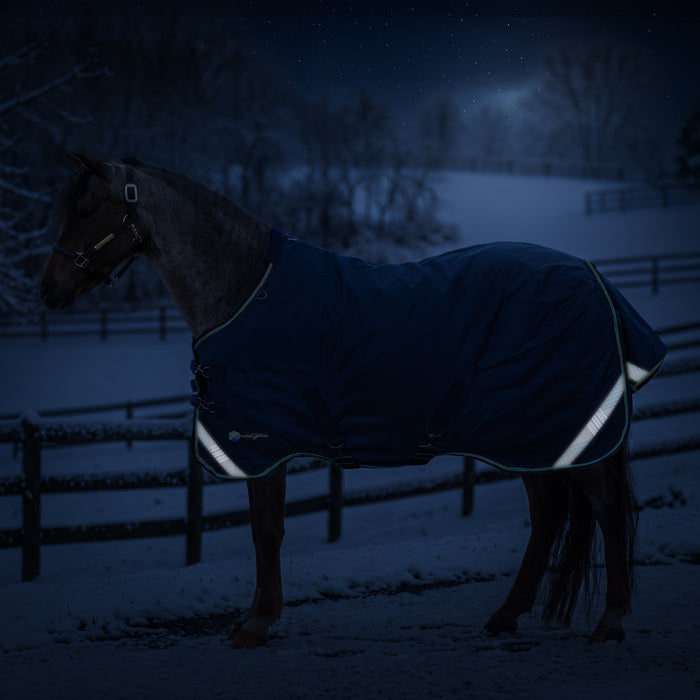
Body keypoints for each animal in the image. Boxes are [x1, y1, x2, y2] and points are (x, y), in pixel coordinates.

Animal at [40, 154, 665, 649]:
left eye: (88, 209)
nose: (49, 289)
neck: (243, 290)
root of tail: (593, 278)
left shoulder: (262, 444)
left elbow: (266, 531)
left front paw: (256, 624)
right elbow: (266, 530)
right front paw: (254, 618)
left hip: (565, 430)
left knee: (606, 508)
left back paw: (609, 622)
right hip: (534, 435)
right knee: (548, 514)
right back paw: (506, 615)